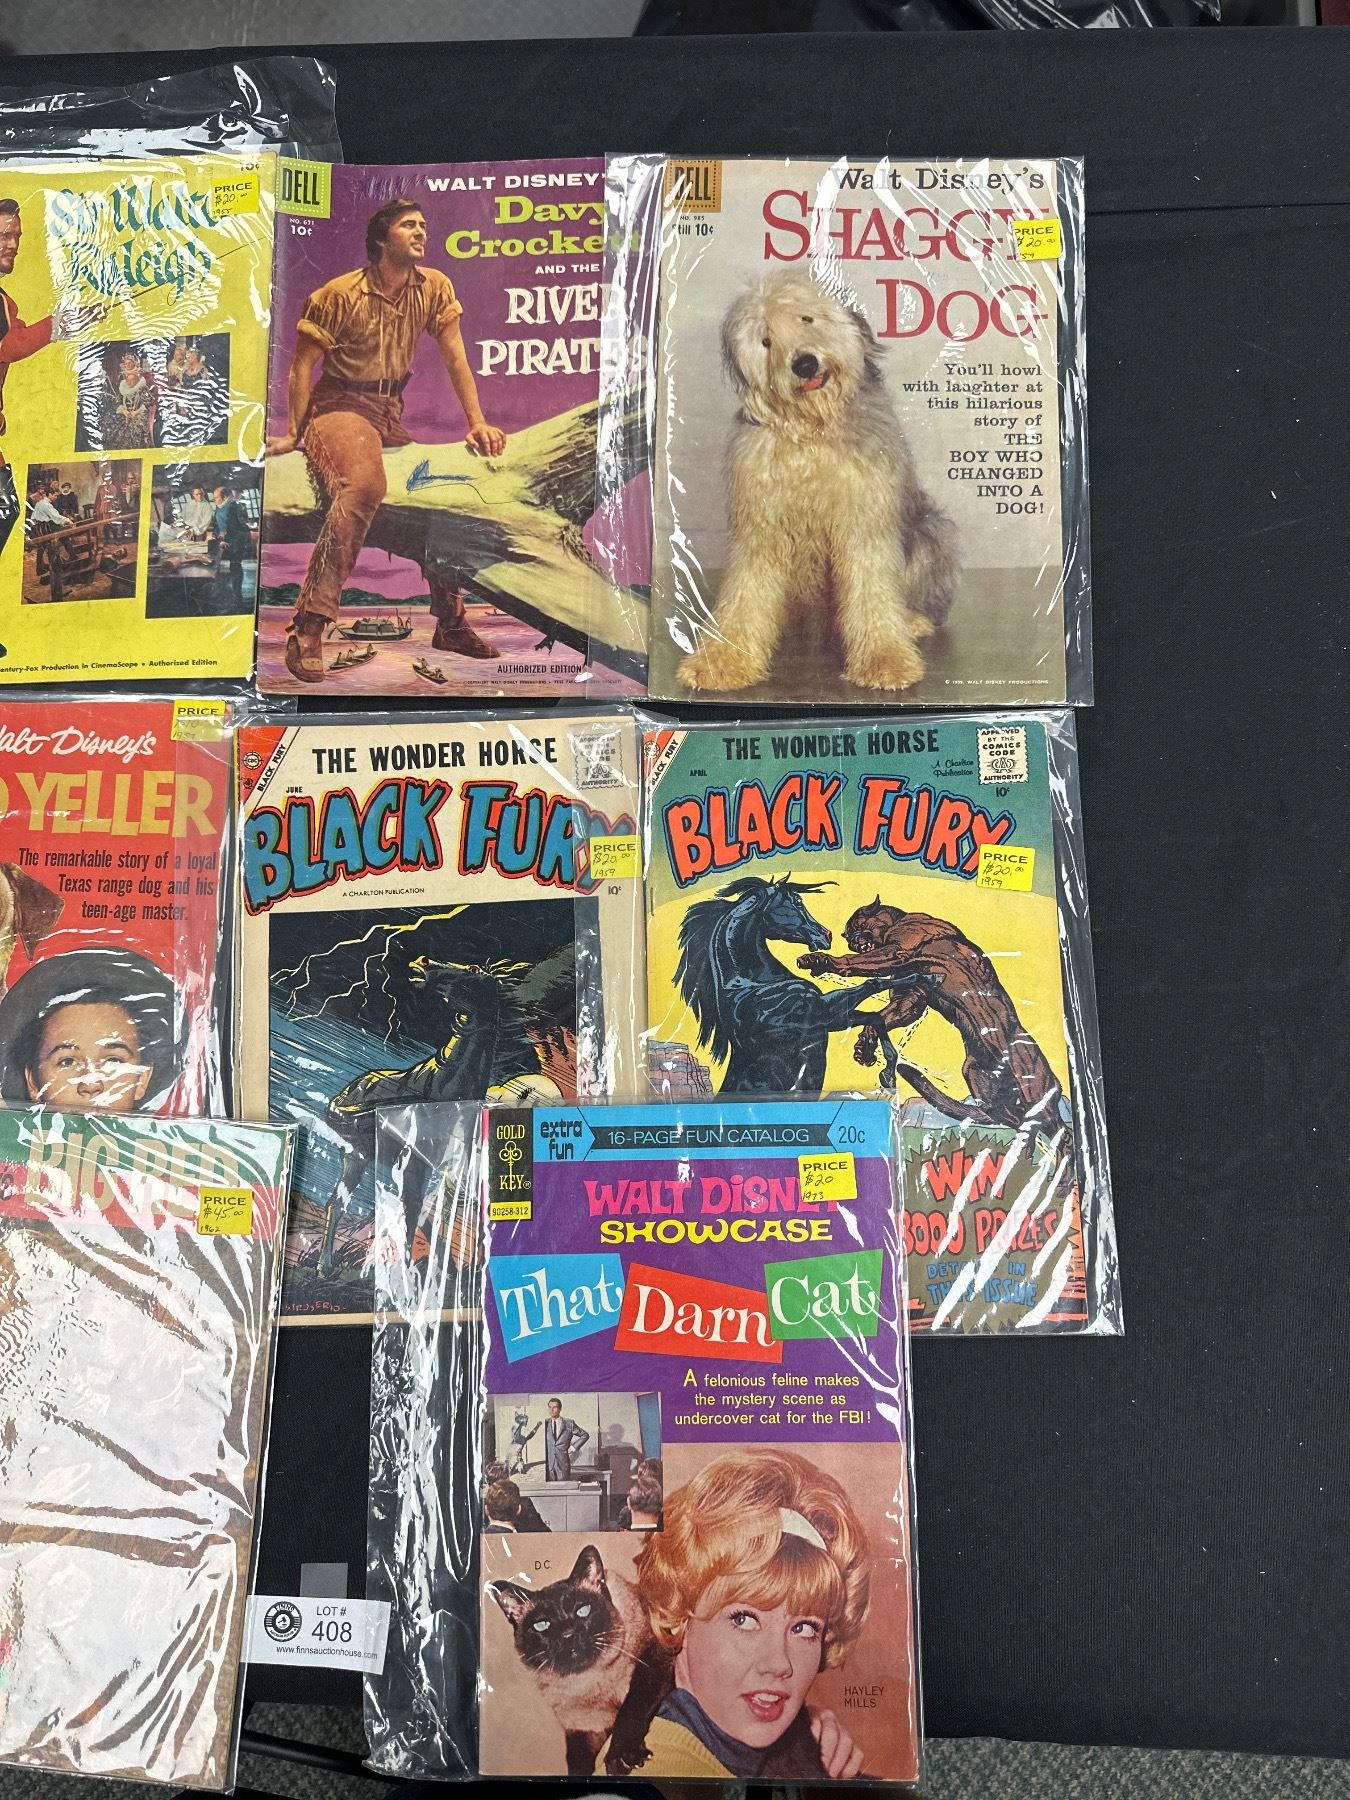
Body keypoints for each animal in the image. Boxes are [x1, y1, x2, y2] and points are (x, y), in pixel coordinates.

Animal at [488, 1542, 668, 1777]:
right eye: (542, 1625)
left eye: (583, 1610)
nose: (568, 1635)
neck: (590, 1683)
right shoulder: (584, 1728)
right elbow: (577, 1761)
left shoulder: (653, 1661)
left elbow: (631, 1710)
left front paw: (620, 1759)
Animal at [674, 874, 933, 1095]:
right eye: (797, 901)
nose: (826, 935)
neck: (749, 983)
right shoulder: (820, 1010)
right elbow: (872, 983)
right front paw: (925, 977)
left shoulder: (830, 1021)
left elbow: (874, 1017)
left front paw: (886, 1070)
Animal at [679, 268, 957, 694]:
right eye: (766, 340)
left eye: (806, 319)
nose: (805, 364)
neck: (811, 433)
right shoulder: (759, 525)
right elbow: (745, 593)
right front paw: (722, 660)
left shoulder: (864, 519)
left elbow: (871, 588)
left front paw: (885, 661)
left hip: (929, 531)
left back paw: (910, 620)